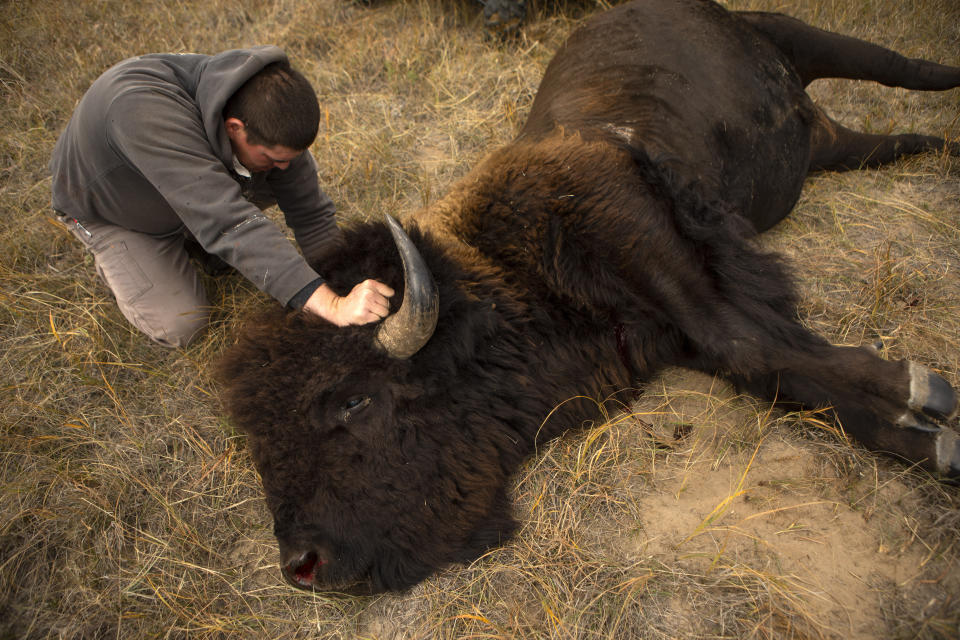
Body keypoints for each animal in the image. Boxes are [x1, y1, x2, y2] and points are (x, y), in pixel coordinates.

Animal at [219, 0, 960, 596]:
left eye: (353, 401)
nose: (302, 565)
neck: (504, 277)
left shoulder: (651, 247)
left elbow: (751, 342)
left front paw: (925, 401)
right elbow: (772, 365)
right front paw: (922, 423)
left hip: (804, 37)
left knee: (905, 66)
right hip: (823, 146)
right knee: (883, 138)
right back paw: (938, 145)